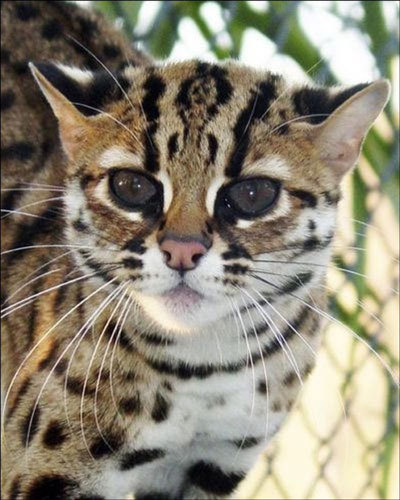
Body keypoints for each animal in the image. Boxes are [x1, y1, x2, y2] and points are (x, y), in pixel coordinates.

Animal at [0, 0, 390, 500]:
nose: (181, 251)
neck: (206, 369)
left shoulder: (215, 463)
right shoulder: (48, 469)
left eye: (252, 194)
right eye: (131, 187)